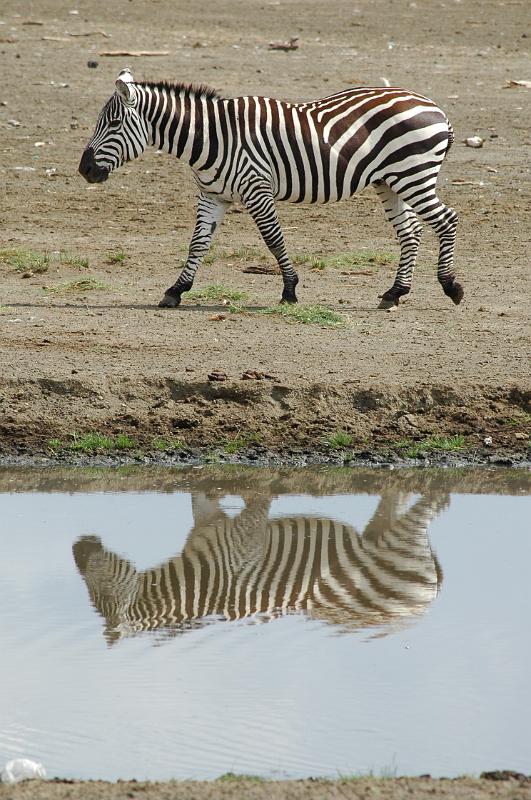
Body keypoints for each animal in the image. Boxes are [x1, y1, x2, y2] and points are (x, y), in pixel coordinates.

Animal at [73, 489, 446, 645]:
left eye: (96, 591)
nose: (76, 549)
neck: (200, 581)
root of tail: (420, 608)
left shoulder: (245, 538)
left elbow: (259, 501)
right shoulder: (210, 522)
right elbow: (201, 499)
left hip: (401, 544)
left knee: (427, 507)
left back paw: (439, 499)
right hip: (380, 537)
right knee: (394, 499)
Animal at [79, 68, 463, 310]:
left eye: (114, 123)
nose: (84, 170)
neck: (212, 138)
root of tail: (436, 108)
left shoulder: (256, 189)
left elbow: (273, 239)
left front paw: (290, 290)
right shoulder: (212, 195)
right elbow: (198, 243)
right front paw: (176, 290)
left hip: (413, 174)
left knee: (447, 220)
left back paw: (451, 286)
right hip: (390, 181)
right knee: (411, 232)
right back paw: (395, 293)